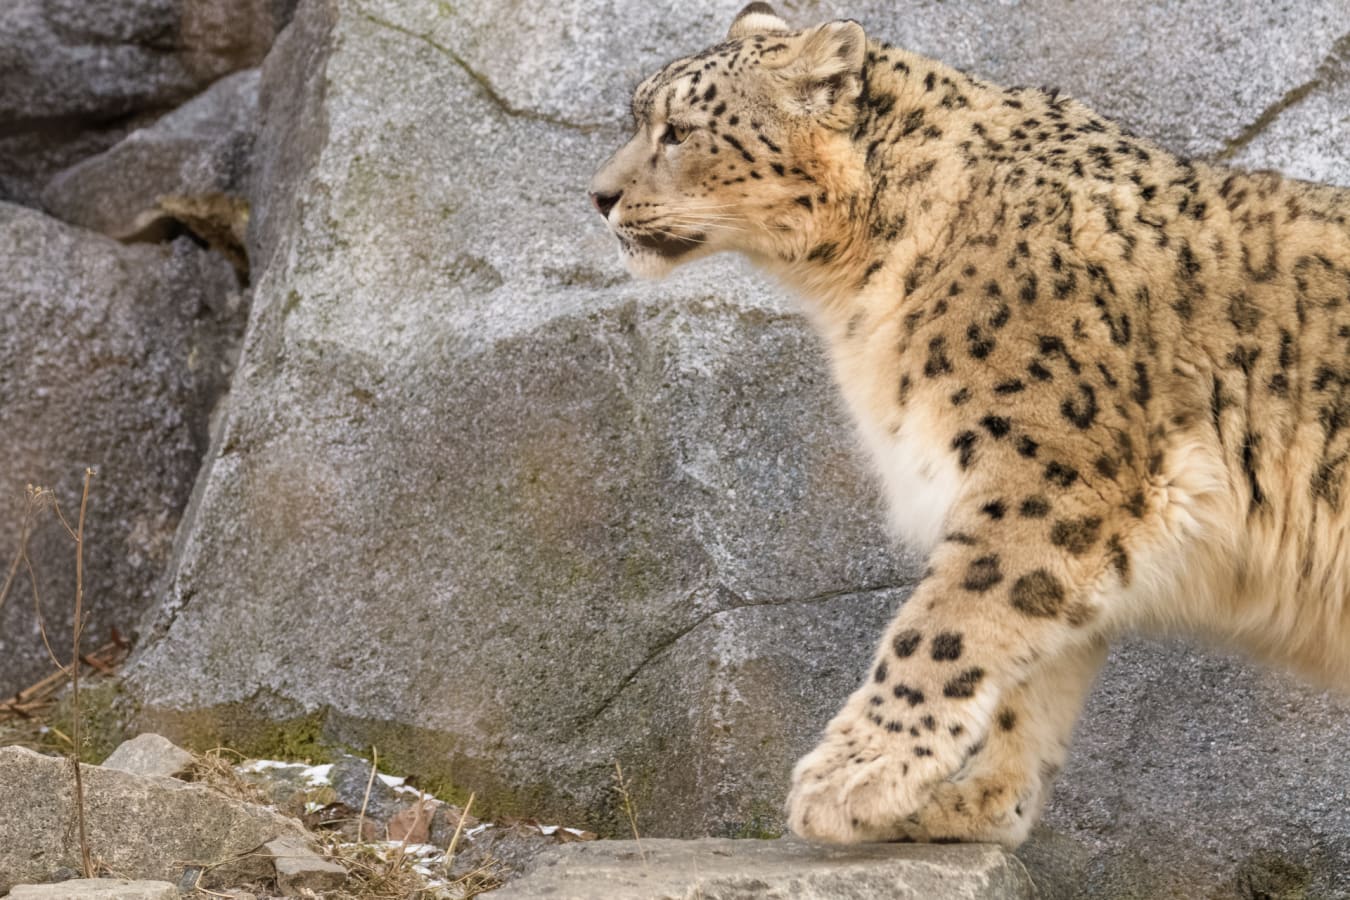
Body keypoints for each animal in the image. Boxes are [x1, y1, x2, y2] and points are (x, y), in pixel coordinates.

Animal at [589, 2, 1350, 847]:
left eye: (679, 130)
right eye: (643, 119)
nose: (599, 196)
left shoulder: (1048, 472)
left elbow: (944, 625)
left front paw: (849, 779)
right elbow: (1030, 661)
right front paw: (970, 802)